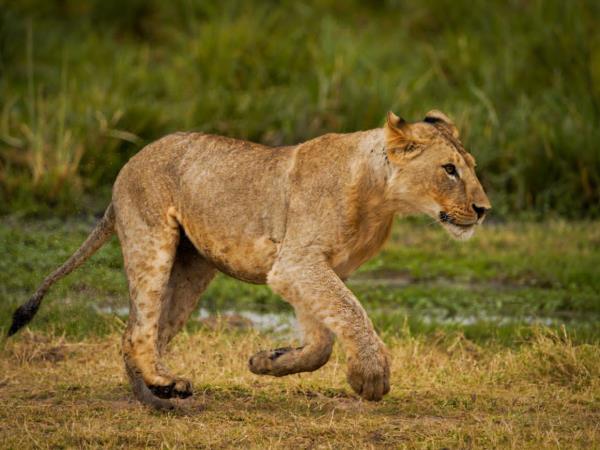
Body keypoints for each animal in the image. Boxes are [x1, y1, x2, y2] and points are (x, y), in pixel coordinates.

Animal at [8, 110, 488, 410]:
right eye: (449, 170)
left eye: (472, 167)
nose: (484, 209)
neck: (381, 199)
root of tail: (126, 166)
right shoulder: (297, 262)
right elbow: (350, 311)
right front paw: (370, 377)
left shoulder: (313, 268)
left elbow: (322, 340)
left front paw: (269, 361)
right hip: (152, 242)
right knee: (138, 330)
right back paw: (161, 384)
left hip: (191, 268)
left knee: (141, 331)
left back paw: (159, 392)